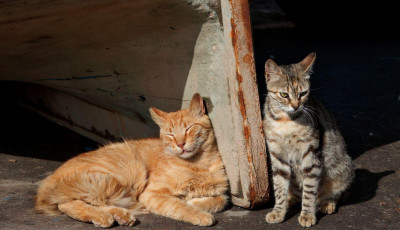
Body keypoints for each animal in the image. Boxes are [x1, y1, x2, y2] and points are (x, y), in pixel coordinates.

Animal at [36, 94, 230, 228]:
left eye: (189, 129)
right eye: (170, 134)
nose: (180, 144)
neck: (198, 165)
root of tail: (49, 180)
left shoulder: (219, 189)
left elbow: (221, 200)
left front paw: (196, 202)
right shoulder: (152, 194)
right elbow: (180, 206)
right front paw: (199, 213)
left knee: (75, 202)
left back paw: (119, 216)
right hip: (127, 173)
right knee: (69, 203)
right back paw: (104, 217)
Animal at [264, 53, 354, 227]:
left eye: (303, 93)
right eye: (284, 95)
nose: (295, 106)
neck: (286, 121)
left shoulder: (311, 155)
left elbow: (310, 190)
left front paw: (306, 215)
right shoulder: (277, 155)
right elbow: (279, 186)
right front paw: (278, 211)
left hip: (343, 169)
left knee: (335, 193)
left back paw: (327, 203)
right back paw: (290, 200)